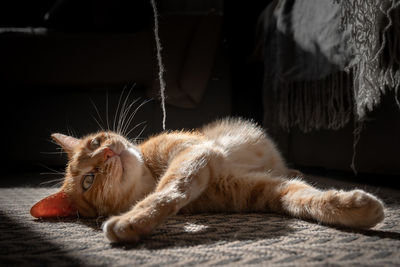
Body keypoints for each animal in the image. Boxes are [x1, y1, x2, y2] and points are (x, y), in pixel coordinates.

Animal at [30, 118, 384, 244]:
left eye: (94, 143)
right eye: (88, 181)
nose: (106, 153)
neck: (149, 173)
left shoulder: (192, 152)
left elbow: (170, 187)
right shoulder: (264, 190)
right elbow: (302, 200)